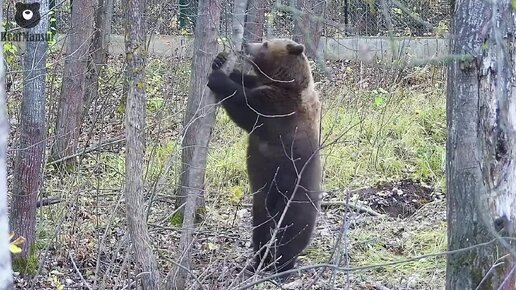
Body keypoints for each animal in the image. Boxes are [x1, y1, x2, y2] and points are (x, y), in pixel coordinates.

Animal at [207, 39, 322, 276]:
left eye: (266, 43)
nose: (246, 43)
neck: (287, 83)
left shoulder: (279, 110)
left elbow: (245, 106)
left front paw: (218, 78)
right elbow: (246, 81)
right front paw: (220, 60)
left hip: (294, 201)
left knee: (290, 236)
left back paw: (281, 267)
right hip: (262, 202)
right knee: (261, 229)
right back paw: (258, 262)